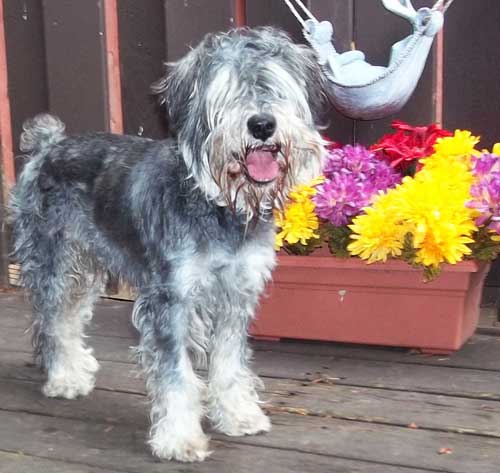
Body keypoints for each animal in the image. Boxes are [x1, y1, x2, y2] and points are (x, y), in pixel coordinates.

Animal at [10, 26, 328, 460]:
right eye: (226, 91)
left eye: (275, 86)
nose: (262, 124)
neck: (217, 206)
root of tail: (46, 148)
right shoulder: (171, 300)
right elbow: (176, 375)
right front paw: (179, 438)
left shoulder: (235, 296)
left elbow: (229, 364)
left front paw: (238, 416)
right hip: (56, 264)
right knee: (52, 320)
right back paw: (64, 378)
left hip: (85, 271)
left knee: (70, 318)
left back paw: (77, 367)